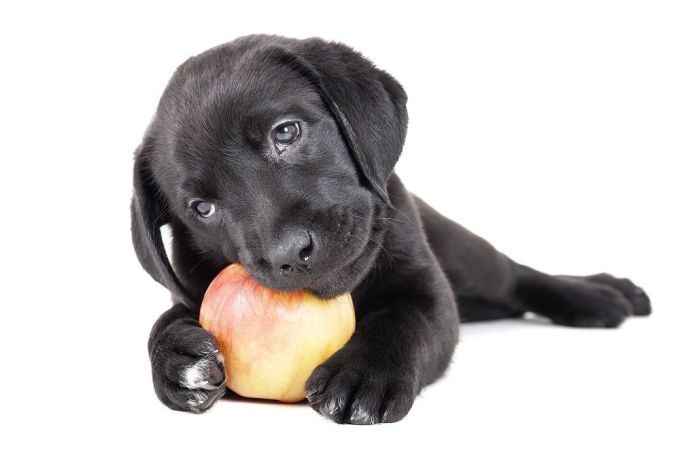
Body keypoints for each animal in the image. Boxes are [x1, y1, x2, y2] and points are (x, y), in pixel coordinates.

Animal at [130, 34, 652, 422]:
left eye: (286, 132)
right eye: (202, 208)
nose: (287, 253)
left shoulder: (429, 292)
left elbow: (403, 318)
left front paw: (366, 374)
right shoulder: (190, 289)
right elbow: (163, 321)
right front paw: (176, 360)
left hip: (466, 255)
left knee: (517, 276)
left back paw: (602, 294)